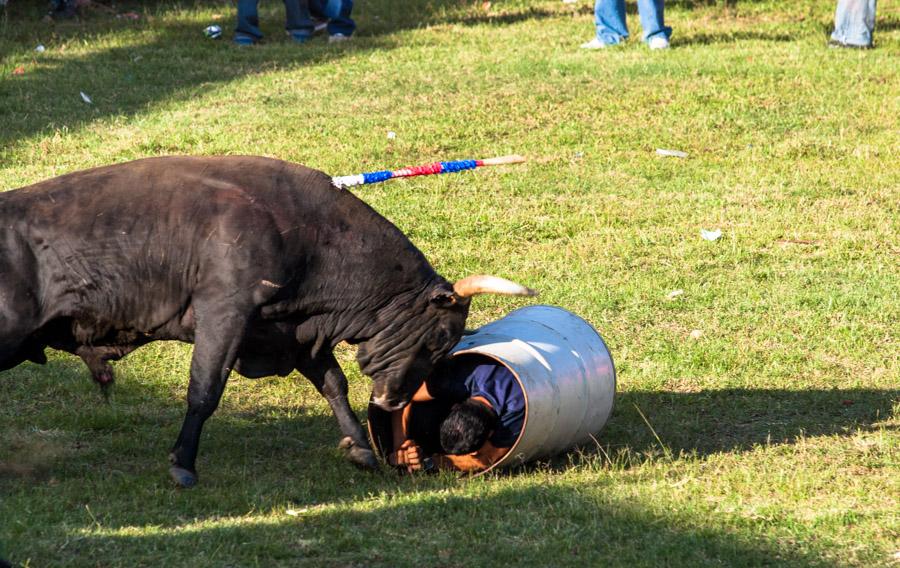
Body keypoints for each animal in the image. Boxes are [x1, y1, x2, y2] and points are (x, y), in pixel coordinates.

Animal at [0, 155, 536, 484]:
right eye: (438, 339)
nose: (392, 401)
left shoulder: (290, 332)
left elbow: (333, 383)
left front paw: (360, 447)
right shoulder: (224, 313)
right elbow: (205, 390)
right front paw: (183, 464)